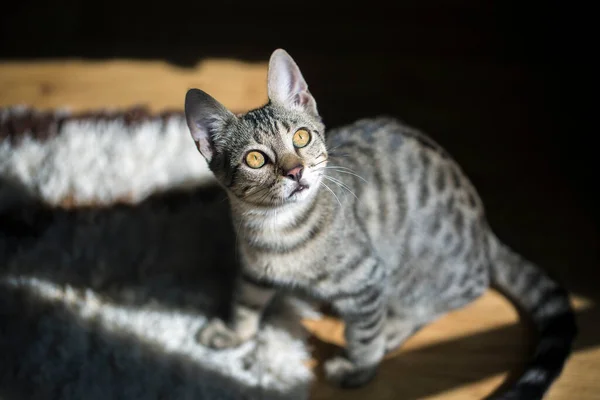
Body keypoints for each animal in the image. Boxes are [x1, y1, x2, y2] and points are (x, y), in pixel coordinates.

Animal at [183, 48, 576, 398]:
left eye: (301, 137)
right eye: (255, 159)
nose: (295, 171)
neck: (276, 228)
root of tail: (485, 234)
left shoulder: (368, 277)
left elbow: (364, 336)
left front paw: (359, 369)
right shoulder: (254, 268)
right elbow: (246, 301)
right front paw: (233, 333)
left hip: (417, 279)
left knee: (432, 305)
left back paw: (390, 331)